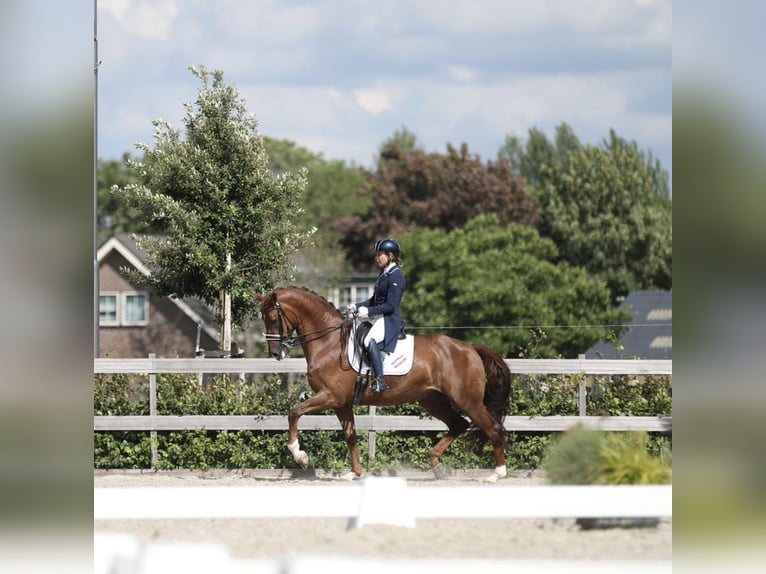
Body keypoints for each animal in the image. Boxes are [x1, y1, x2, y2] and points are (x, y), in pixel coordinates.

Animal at [255, 286, 512, 482]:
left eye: (273, 319)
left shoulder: (330, 396)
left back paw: (496, 474)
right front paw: (354, 473)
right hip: (432, 400)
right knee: (458, 425)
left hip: (467, 400)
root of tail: (470, 348)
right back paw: (437, 465)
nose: (275, 354)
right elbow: (351, 436)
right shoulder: (342, 404)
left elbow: (294, 412)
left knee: (492, 428)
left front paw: (300, 456)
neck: (329, 342)